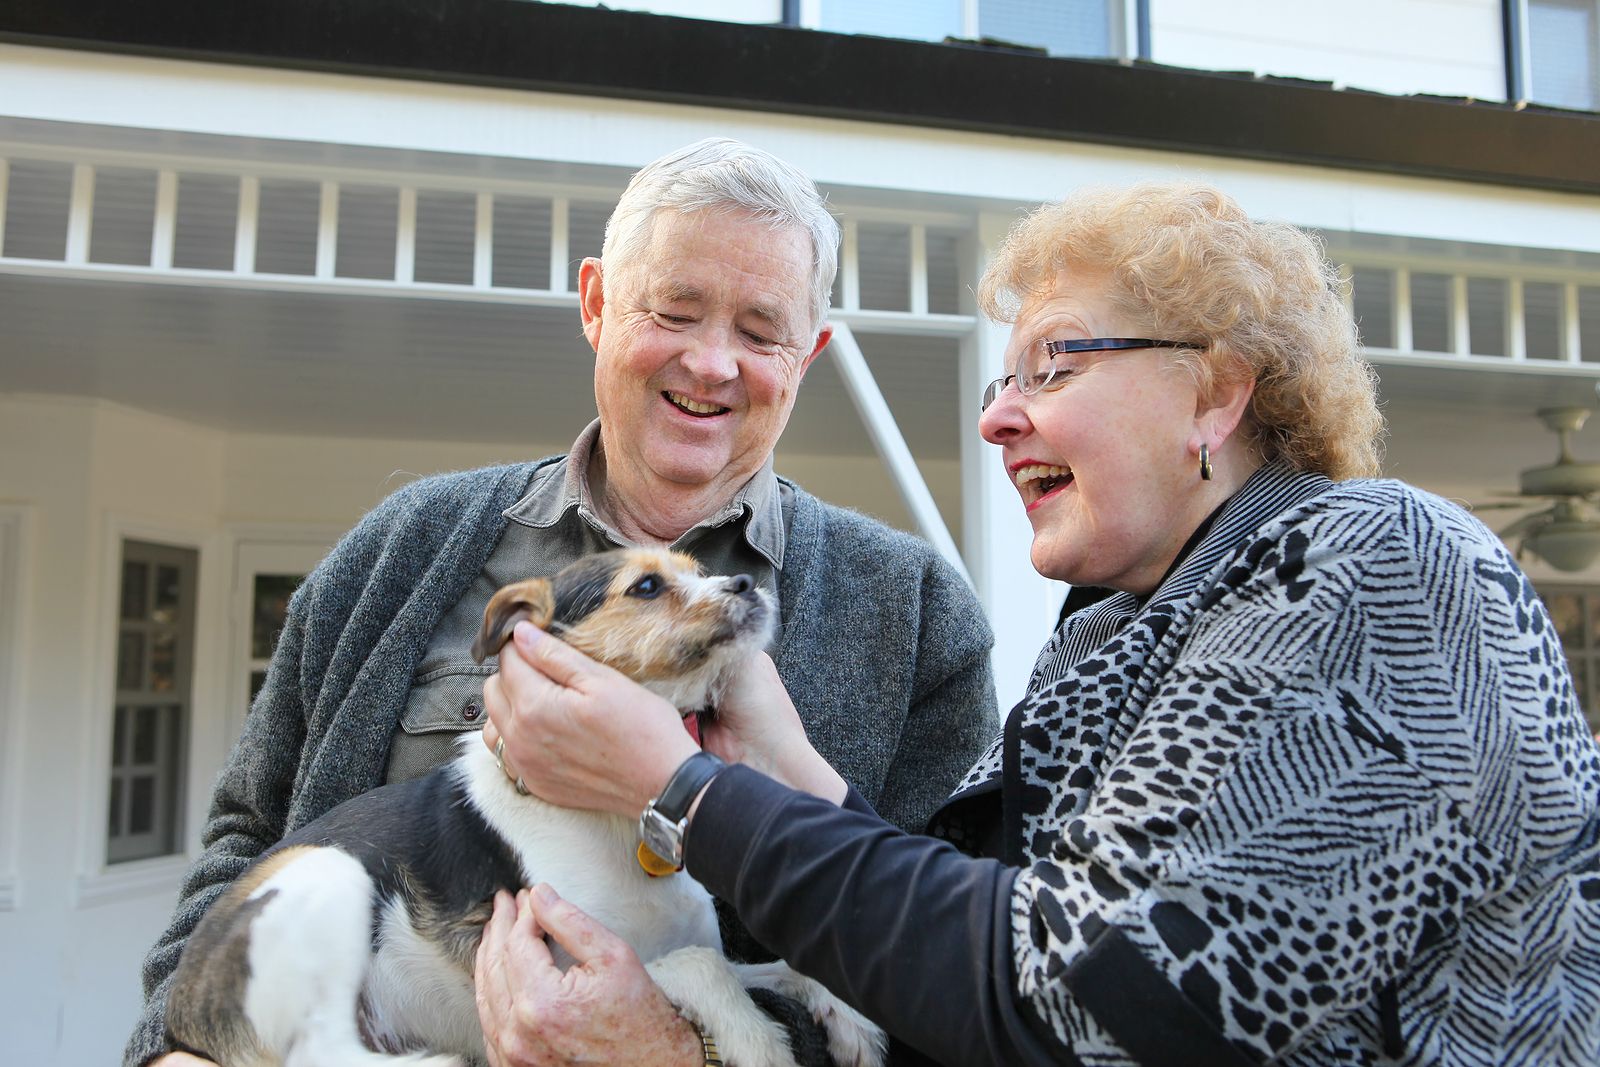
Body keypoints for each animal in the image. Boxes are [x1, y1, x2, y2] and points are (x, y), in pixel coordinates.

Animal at [168, 550, 883, 1067]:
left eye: (700, 569)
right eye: (648, 586)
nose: (746, 582)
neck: (611, 817)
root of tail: (181, 1007)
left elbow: (782, 966)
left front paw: (849, 1017)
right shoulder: (577, 967)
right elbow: (701, 967)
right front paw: (757, 1039)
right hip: (331, 876)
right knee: (322, 1055)